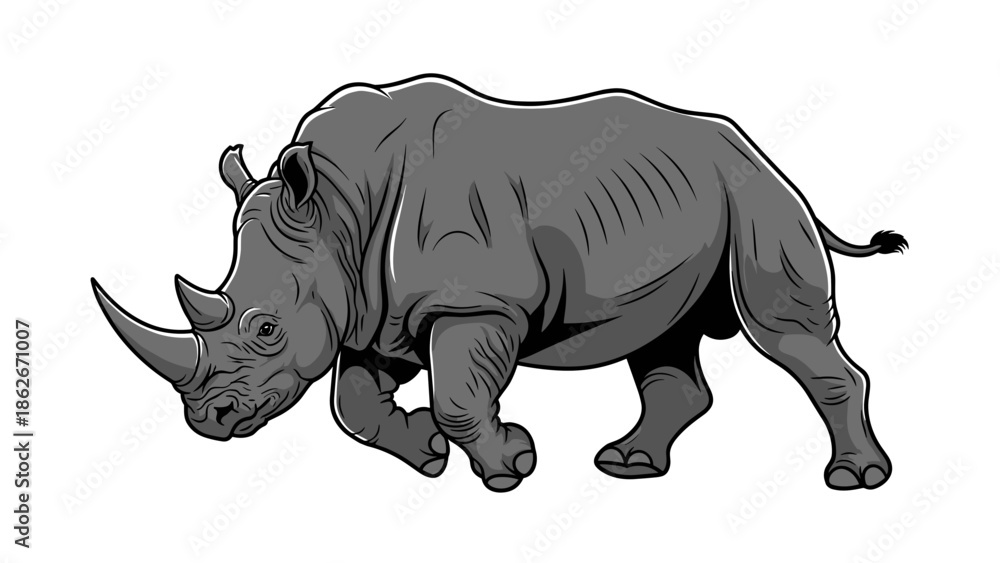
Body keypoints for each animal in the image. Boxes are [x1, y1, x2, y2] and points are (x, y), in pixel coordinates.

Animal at [92, 74, 906, 492]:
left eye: (264, 328)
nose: (209, 421)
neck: (338, 211)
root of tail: (762, 151)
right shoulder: (374, 311)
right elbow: (352, 404)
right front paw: (425, 455)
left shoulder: (472, 304)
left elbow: (458, 394)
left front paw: (510, 465)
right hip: (698, 200)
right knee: (663, 336)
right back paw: (628, 467)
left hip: (755, 198)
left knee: (784, 334)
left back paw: (855, 479)